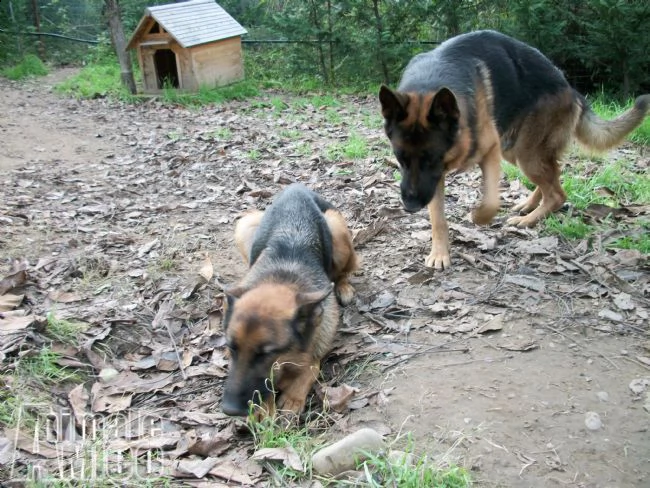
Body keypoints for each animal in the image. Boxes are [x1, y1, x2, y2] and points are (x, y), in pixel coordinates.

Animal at [220, 185, 356, 418]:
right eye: (232, 348)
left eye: (266, 354)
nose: (229, 410)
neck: (283, 277)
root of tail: (296, 187)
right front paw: (265, 407)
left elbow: (311, 364)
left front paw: (293, 396)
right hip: (245, 224)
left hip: (336, 229)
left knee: (343, 272)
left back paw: (343, 287)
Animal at [380, 30, 648, 268]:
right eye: (400, 159)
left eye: (432, 159)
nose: (410, 206)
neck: (430, 83)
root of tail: (571, 89)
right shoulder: (432, 179)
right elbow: (437, 218)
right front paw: (439, 253)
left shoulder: (487, 152)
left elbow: (490, 201)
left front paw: (479, 217)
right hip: (517, 149)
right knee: (554, 175)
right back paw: (529, 205)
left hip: (523, 153)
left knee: (557, 193)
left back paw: (528, 220)